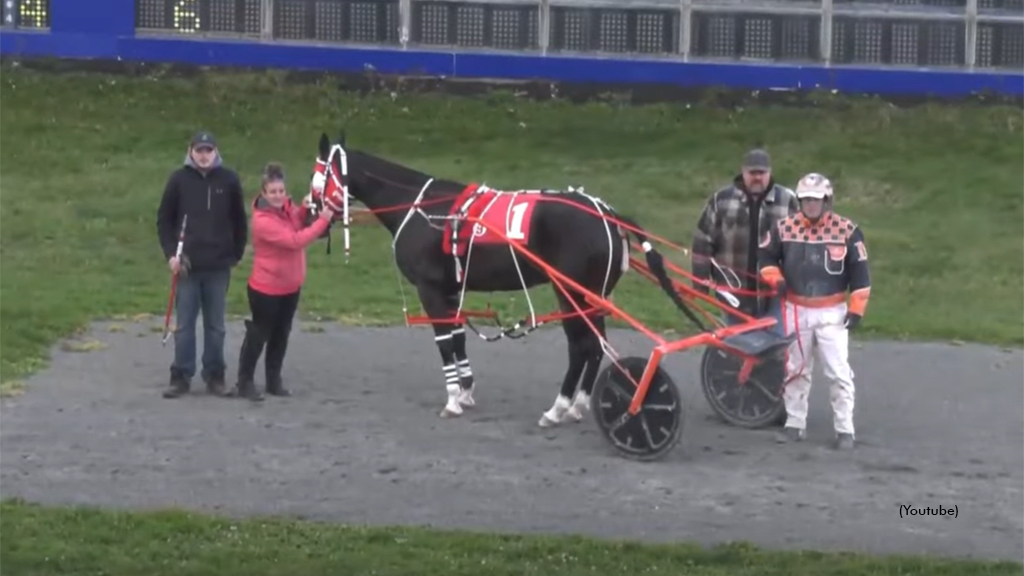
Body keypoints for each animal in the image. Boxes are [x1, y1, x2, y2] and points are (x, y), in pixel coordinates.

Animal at [307, 132, 684, 424]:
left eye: (317, 178)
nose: (310, 213)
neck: (424, 209)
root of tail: (606, 212)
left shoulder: (430, 289)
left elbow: (445, 342)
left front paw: (452, 399)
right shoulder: (451, 288)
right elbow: (458, 336)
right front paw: (466, 390)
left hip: (570, 292)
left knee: (582, 347)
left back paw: (558, 408)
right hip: (594, 295)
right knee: (596, 345)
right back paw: (578, 405)